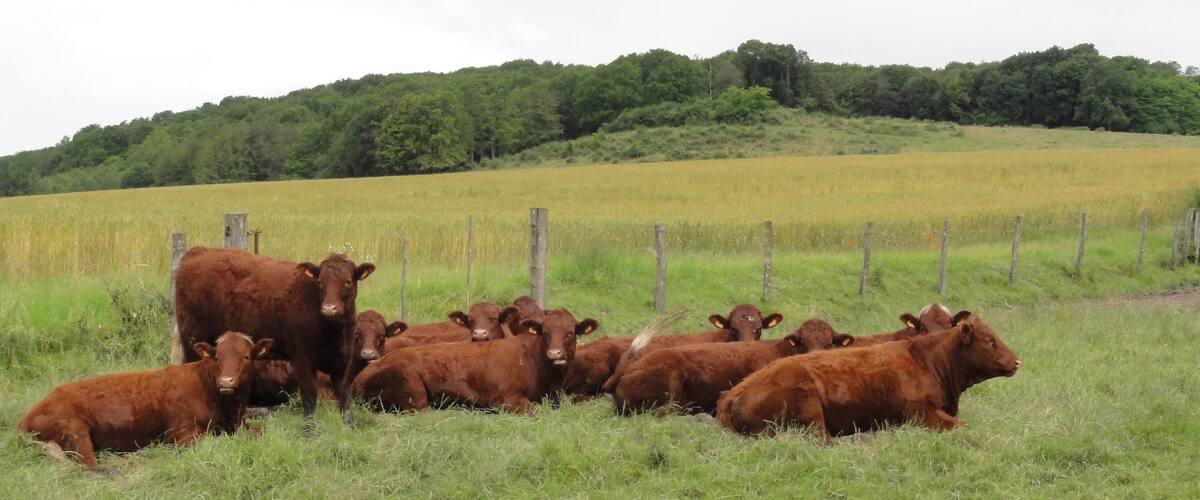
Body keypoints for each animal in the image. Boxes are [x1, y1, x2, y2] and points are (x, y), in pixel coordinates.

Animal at [18, 332, 272, 472]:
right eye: (217, 357)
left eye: (246, 356)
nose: (226, 381)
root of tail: (25, 418)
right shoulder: (182, 433)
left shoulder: (238, 423)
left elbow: (261, 431)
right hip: (74, 430)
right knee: (90, 466)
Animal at [173, 247, 374, 423]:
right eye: (320, 283)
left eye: (348, 282)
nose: (329, 309)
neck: (332, 331)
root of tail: (198, 251)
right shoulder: (303, 358)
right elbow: (309, 397)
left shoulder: (342, 360)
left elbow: (344, 397)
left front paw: (349, 426)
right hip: (192, 340)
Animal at [716, 311, 1020, 439]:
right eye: (989, 340)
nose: (1017, 361)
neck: (928, 360)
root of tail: (732, 395)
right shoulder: (921, 413)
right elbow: (962, 427)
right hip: (810, 407)